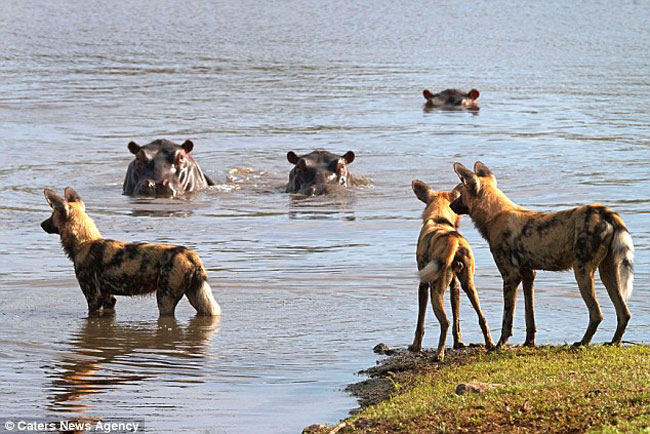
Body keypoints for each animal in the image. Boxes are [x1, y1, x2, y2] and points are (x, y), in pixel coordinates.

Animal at [40, 188, 219, 318]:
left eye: (51, 215)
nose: (41, 224)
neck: (84, 242)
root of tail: (190, 254)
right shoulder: (108, 298)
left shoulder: (93, 298)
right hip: (198, 298)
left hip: (164, 298)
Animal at [408, 180, 494, 360]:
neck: (439, 219)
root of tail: (453, 239)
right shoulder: (455, 286)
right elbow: (457, 320)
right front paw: (458, 342)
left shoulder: (423, 285)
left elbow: (420, 321)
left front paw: (415, 346)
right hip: (469, 286)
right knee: (481, 317)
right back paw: (491, 345)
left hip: (435, 292)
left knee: (445, 322)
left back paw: (438, 355)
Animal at [448, 161, 632, 348]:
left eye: (460, 194)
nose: (450, 205)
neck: (494, 215)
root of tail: (606, 213)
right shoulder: (528, 274)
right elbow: (530, 317)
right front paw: (529, 342)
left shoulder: (510, 276)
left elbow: (507, 319)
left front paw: (499, 345)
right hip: (608, 272)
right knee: (624, 312)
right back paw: (614, 342)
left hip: (582, 272)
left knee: (597, 314)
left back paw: (582, 343)